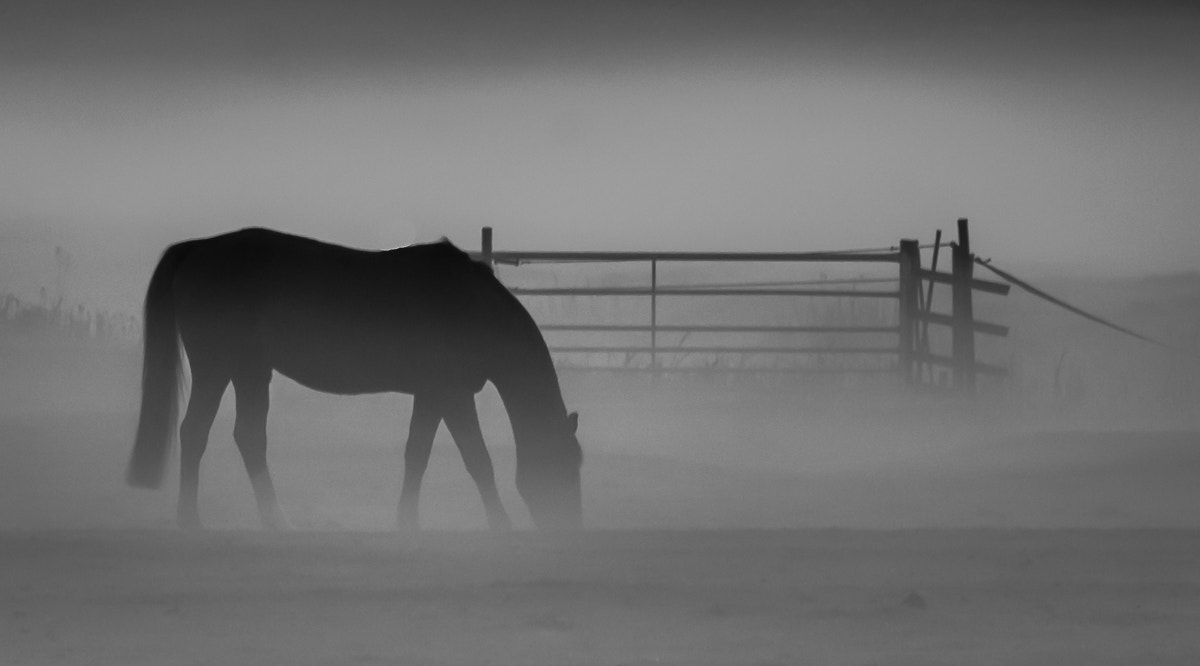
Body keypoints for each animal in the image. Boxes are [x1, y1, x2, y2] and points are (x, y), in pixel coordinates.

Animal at [125, 227, 582, 531]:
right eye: (569, 462)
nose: (567, 525)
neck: (471, 304)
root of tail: (198, 249)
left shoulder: (432, 394)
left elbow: (417, 454)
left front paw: (406, 522)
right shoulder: (451, 395)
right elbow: (478, 459)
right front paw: (501, 524)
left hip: (249, 371)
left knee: (249, 438)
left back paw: (276, 519)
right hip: (216, 368)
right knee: (195, 432)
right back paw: (190, 519)